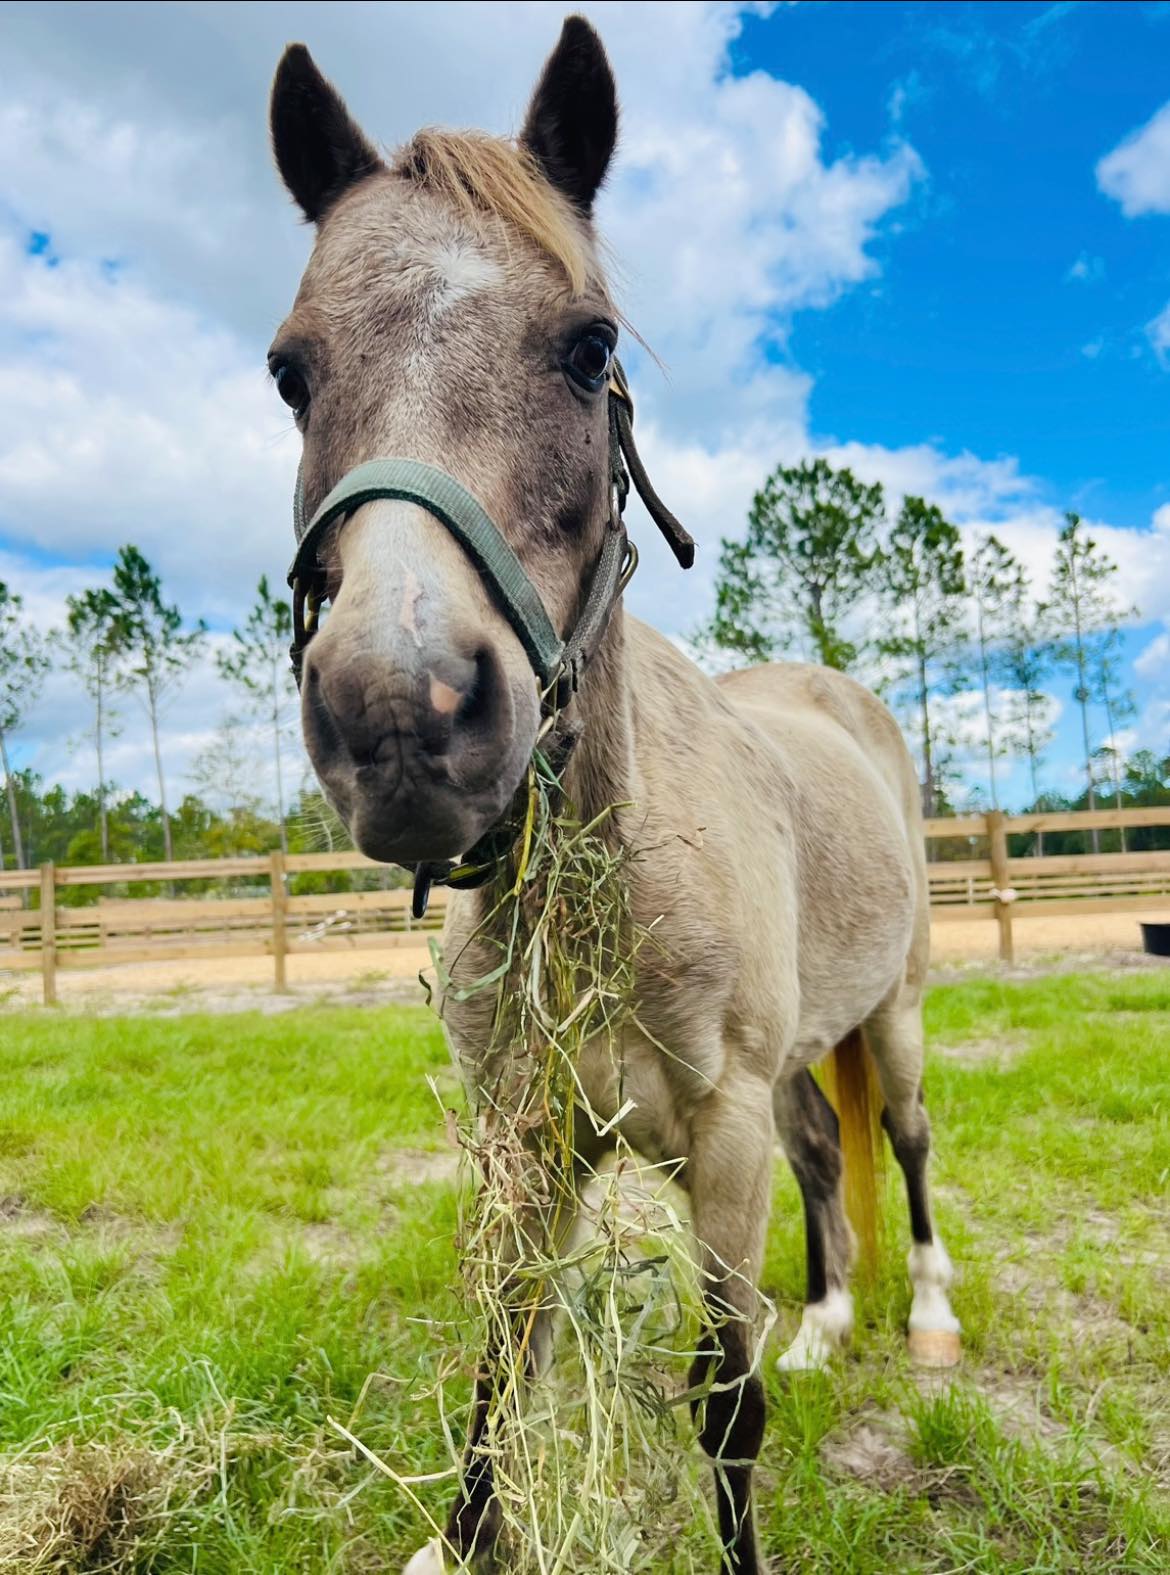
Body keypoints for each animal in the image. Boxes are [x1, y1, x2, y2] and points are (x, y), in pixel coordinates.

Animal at [266, 17, 961, 1573]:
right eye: (289, 370)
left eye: (587, 351)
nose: (403, 713)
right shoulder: (527, 1148)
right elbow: (500, 1364)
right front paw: (458, 1539)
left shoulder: (718, 1137)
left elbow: (723, 1407)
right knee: (825, 1153)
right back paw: (831, 1320)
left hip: (889, 1011)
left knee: (898, 1136)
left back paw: (930, 1316)